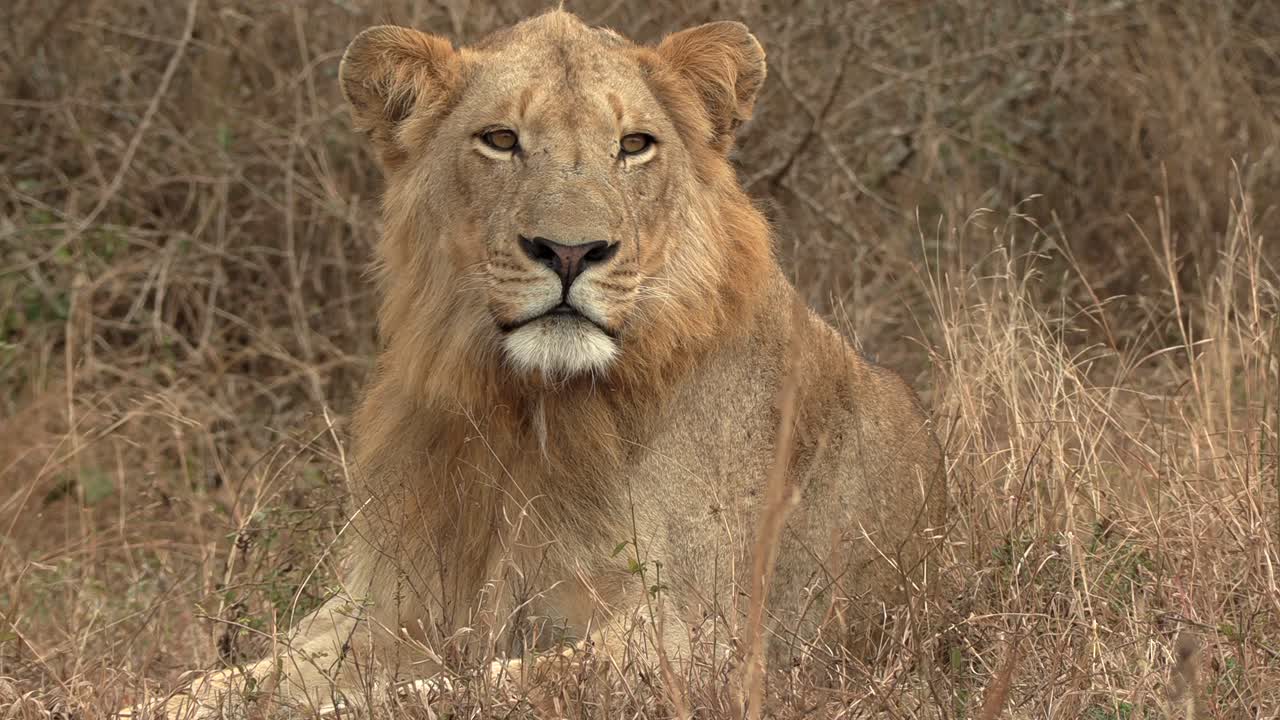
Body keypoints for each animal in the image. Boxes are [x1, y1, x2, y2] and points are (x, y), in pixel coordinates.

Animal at [124, 9, 945, 717]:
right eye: (500, 139)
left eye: (635, 145)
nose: (571, 251)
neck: (530, 411)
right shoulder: (390, 605)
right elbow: (227, 682)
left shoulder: (704, 637)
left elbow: (454, 692)